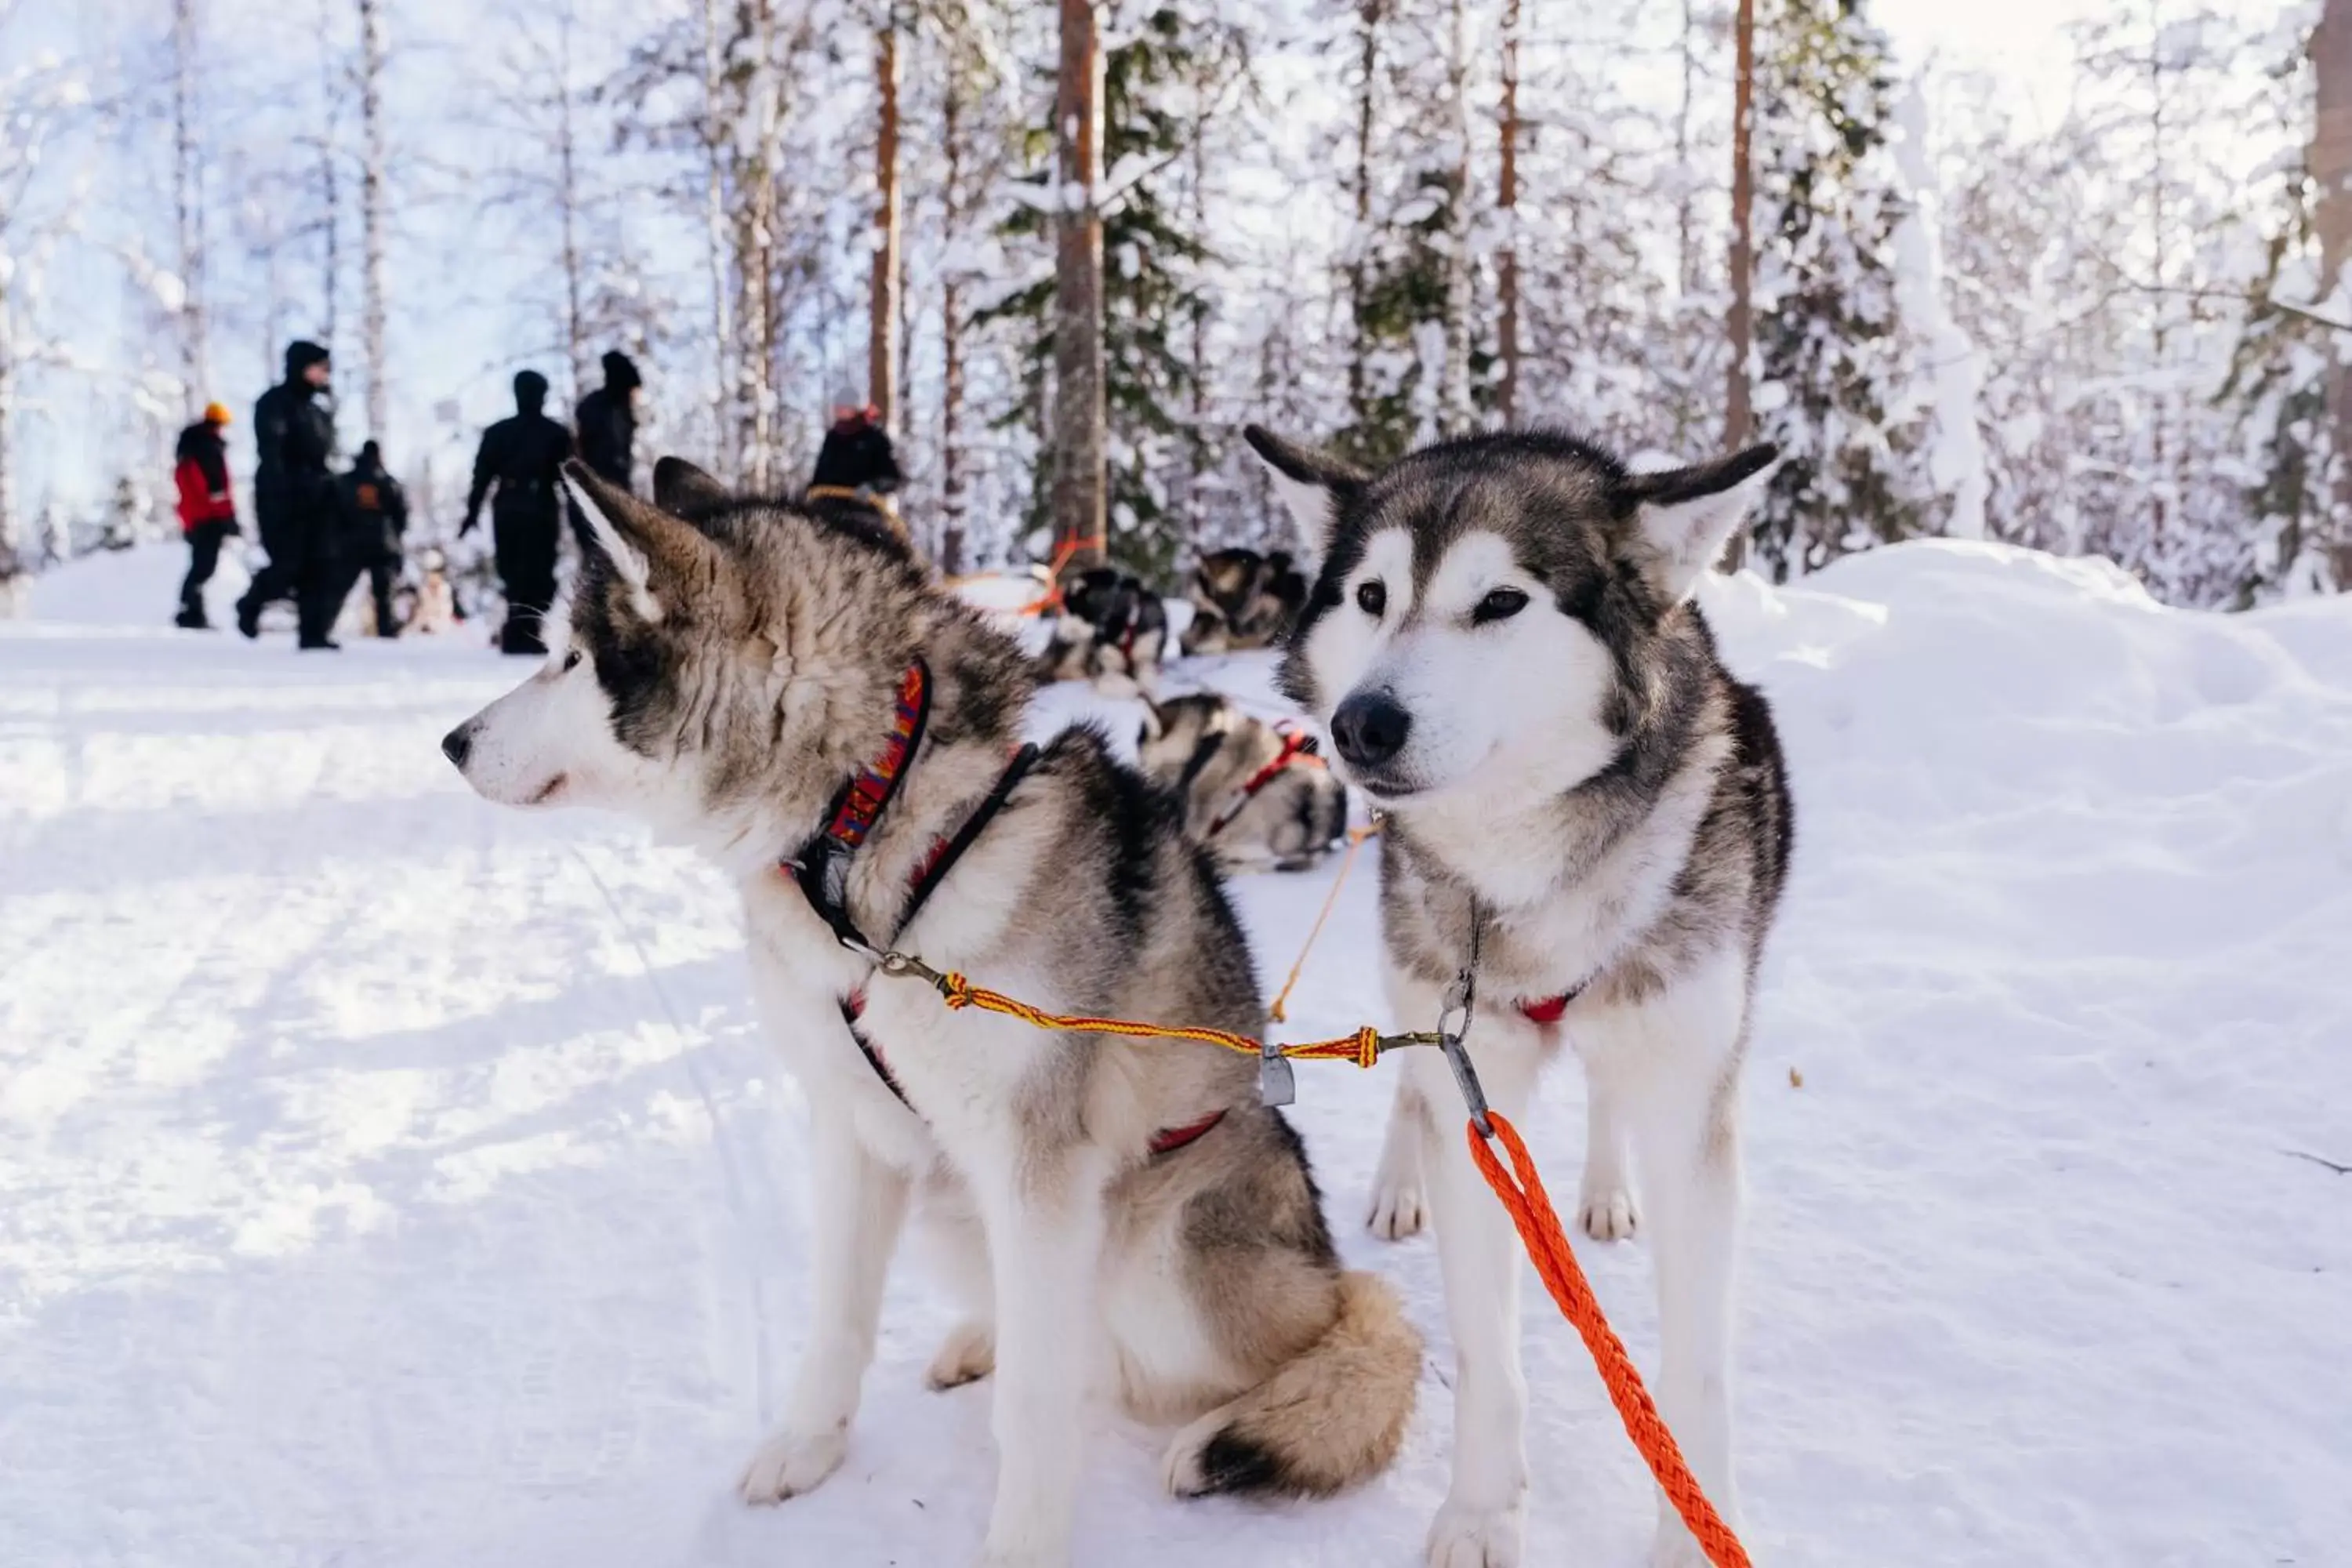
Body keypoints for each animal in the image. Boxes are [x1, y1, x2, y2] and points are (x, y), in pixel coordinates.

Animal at [1251, 423, 1778, 1561]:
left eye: (1501, 601)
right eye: (1370, 595)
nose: (1362, 723)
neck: (1526, 873)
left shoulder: (1689, 1099)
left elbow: (1697, 1370)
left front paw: (1693, 1527)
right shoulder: (1470, 1069)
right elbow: (1486, 1352)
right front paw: (1484, 1511)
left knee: (1610, 1100)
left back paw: (1606, 1188)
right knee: (1412, 1093)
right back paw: (1400, 1182)